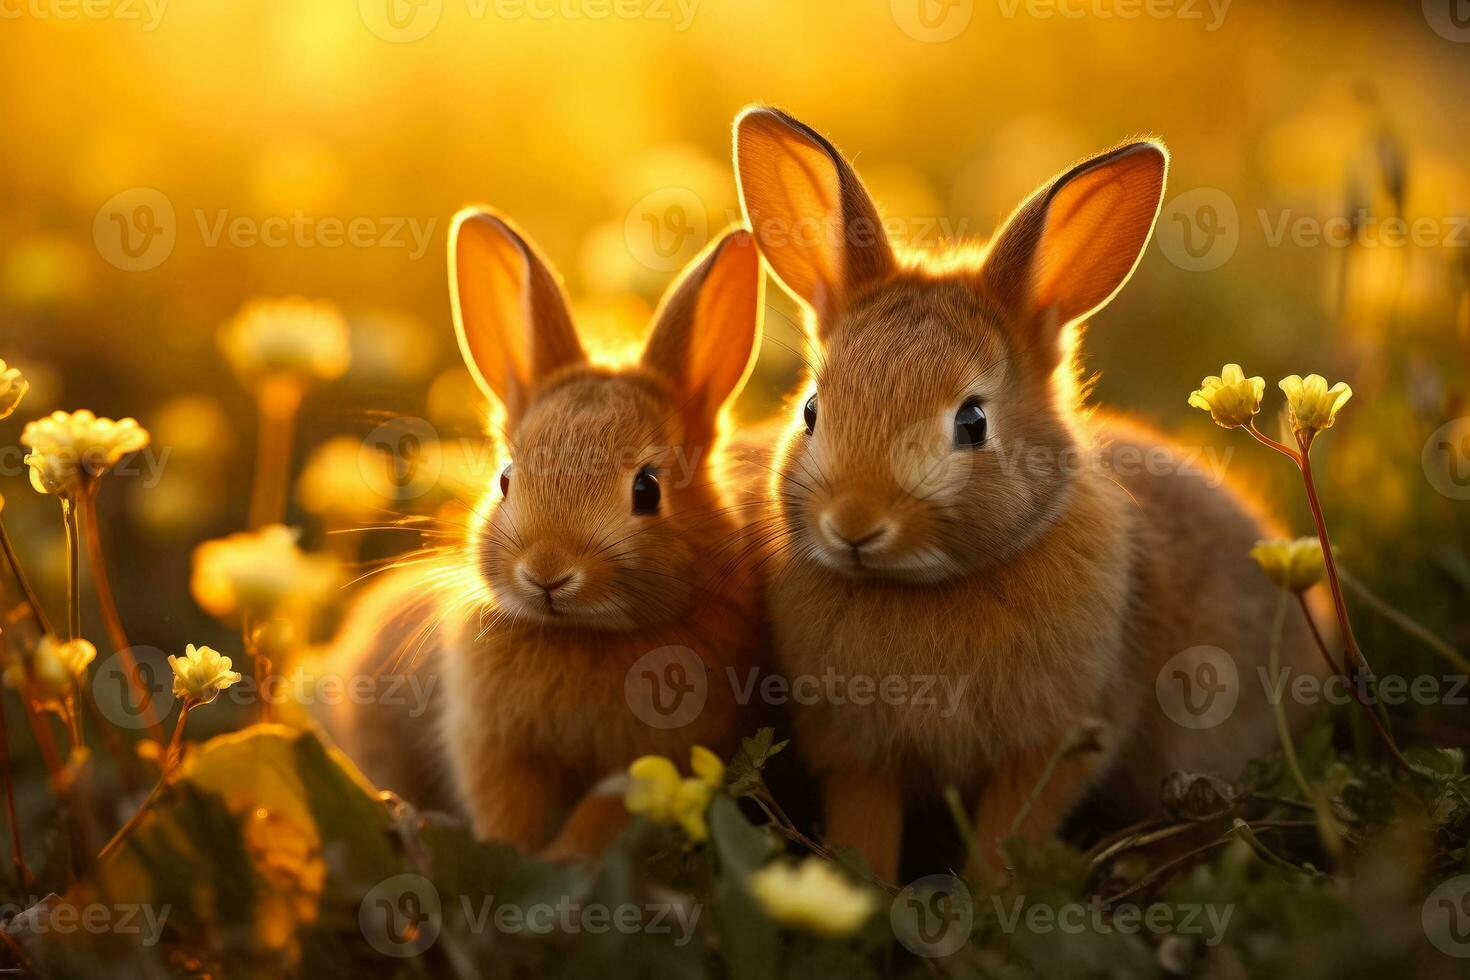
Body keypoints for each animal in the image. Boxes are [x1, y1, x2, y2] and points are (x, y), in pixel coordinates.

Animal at [326, 214, 770, 858]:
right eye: (506, 478)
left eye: (647, 489)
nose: (547, 573)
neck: (581, 634)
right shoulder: (497, 749)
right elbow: (508, 812)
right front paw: (515, 855)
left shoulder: (651, 760)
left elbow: (598, 821)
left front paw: (561, 861)